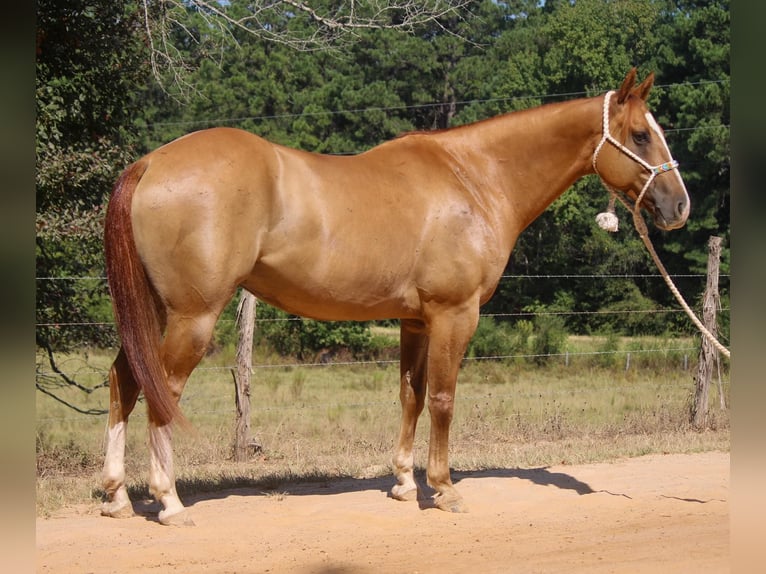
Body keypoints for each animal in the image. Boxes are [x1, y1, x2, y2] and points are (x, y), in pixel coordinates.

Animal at [100, 68, 688, 528]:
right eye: (640, 135)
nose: (679, 206)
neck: (474, 178)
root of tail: (152, 163)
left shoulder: (415, 321)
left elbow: (412, 395)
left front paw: (406, 483)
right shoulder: (455, 315)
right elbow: (445, 398)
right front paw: (445, 488)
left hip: (156, 313)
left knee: (124, 379)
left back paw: (115, 497)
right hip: (193, 317)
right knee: (161, 390)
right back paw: (169, 502)